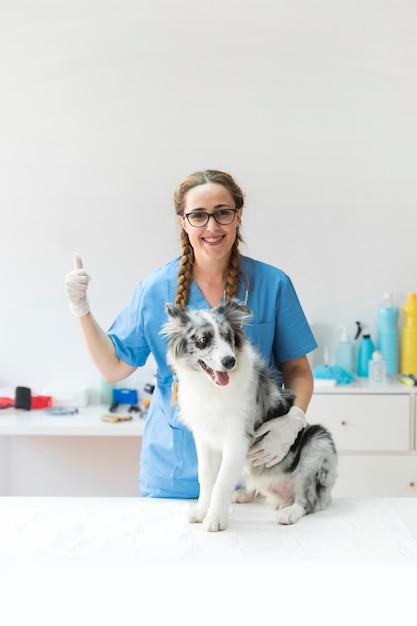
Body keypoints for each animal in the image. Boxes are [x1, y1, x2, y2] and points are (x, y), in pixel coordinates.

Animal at [161, 298, 336, 532]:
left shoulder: (237, 438)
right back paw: (245, 495)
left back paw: (289, 512)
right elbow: (206, 477)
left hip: (318, 443)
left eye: (229, 337)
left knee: (308, 500)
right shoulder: (204, 438)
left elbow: (222, 481)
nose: (229, 361)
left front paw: (215, 518)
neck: (213, 389)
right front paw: (201, 511)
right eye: (203, 340)